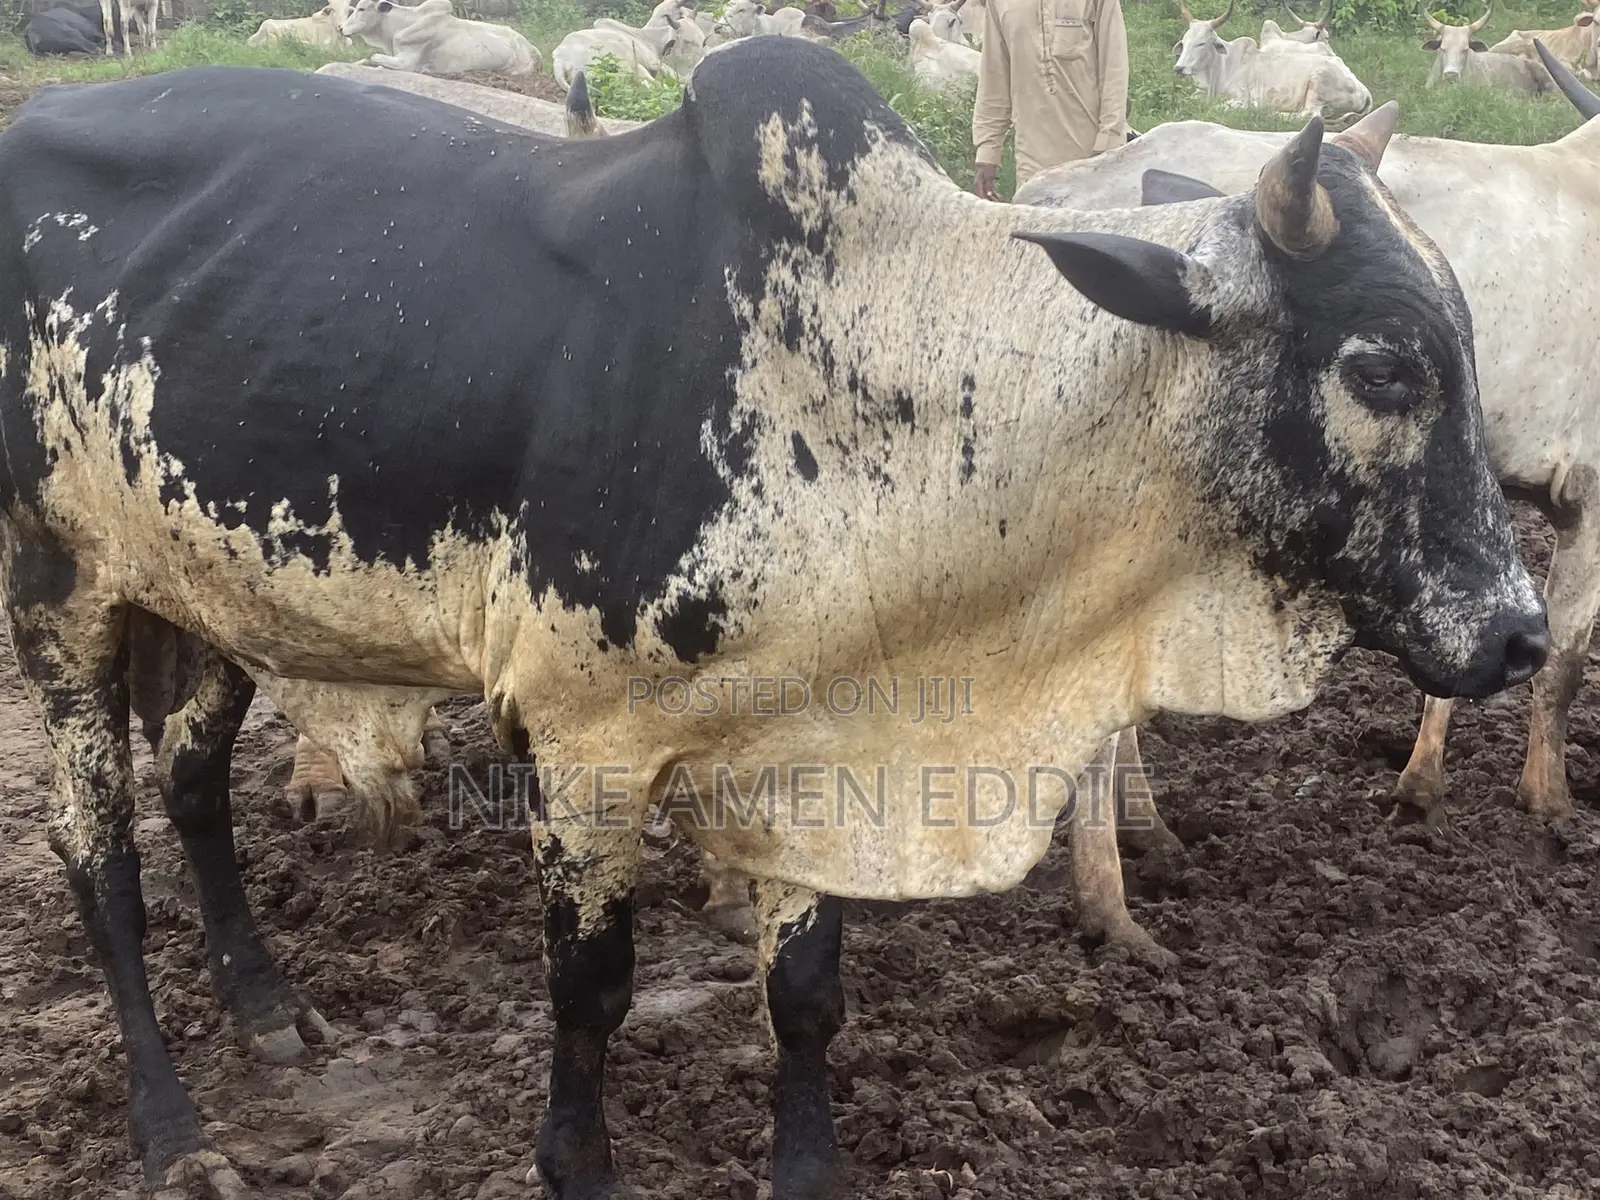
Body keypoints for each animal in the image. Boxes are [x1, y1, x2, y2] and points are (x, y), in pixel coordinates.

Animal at [0, 35, 1547, 1198]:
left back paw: (269, 1014)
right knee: (99, 854)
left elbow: (805, 993)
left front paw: (806, 1168)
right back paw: (169, 1128)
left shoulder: (816, 744)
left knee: (195, 785)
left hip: (204, 597)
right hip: (59, 594)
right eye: (1385, 366)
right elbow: (590, 986)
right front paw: (580, 1168)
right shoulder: (584, 742)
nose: (1521, 632)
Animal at [339, 0, 541, 75]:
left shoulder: (406, 62)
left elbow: (373, 57)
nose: (340, 28)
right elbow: (364, 59)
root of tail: (532, 50)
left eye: (361, 8)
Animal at [1174, 0, 1372, 119]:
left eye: (1201, 43)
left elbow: (1216, 108)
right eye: (1184, 42)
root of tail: (1365, 91)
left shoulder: (1241, 99)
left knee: (1309, 114)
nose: (1178, 68)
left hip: (1319, 82)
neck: (1224, 67)